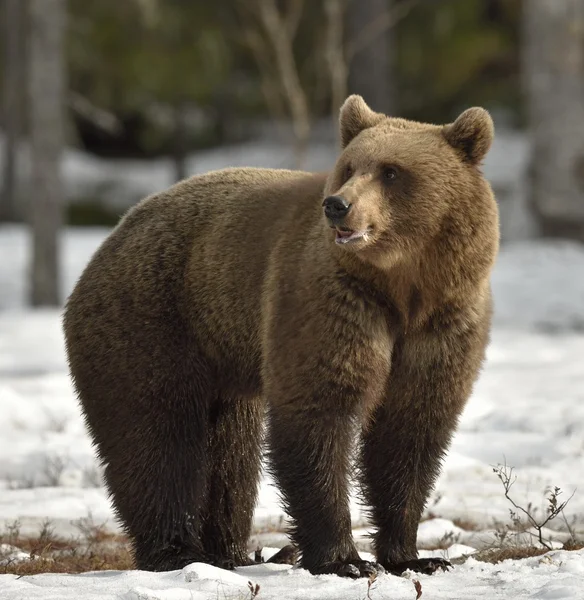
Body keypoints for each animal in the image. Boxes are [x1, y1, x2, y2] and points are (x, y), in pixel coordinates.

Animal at [64, 96, 498, 580]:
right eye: (350, 166)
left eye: (391, 171)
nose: (337, 205)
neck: (402, 287)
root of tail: (112, 237)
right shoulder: (332, 302)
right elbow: (318, 412)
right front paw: (345, 560)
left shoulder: (443, 321)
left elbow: (411, 430)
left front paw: (416, 556)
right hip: (154, 321)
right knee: (158, 437)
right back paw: (178, 552)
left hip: (224, 361)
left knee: (231, 456)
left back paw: (228, 551)